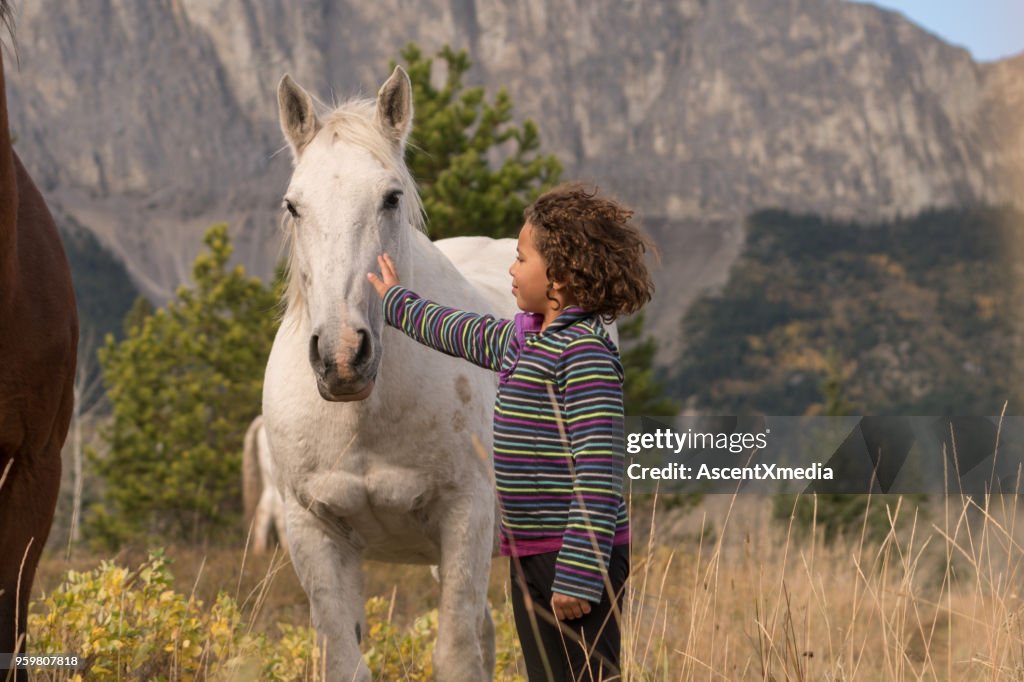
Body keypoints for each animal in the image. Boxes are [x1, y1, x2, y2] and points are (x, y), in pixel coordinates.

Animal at [264, 65, 520, 679]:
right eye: (293, 205)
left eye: (390, 197)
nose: (341, 356)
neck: (364, 418)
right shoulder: (313, 530)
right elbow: (346, 660)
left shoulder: (465, 517)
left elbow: (454, 657)